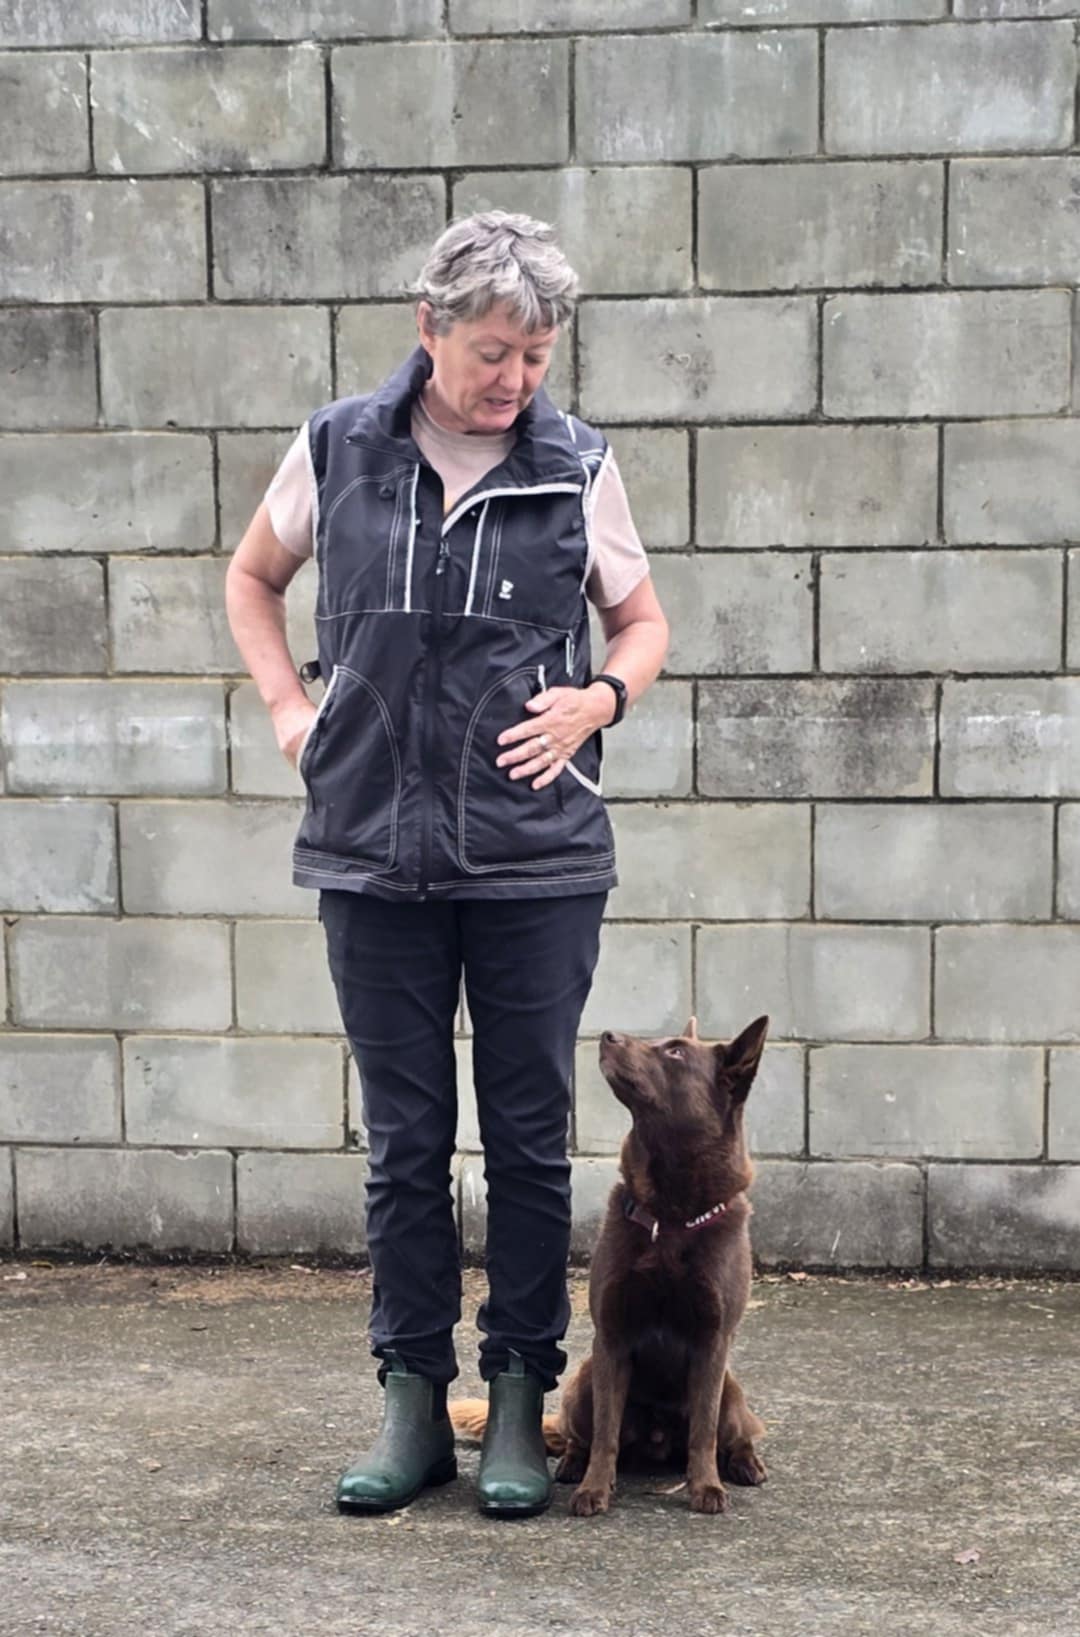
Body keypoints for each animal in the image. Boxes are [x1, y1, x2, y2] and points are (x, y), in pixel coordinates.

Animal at [451, 1014, 769, 1516]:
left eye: (675, 1052)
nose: (607, 1035)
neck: (670, 1218)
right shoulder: (612, 1337)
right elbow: (606, 1432)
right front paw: (594, 1489)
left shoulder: (713, 1341)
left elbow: (702, 1432)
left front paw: (705, 1487)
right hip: (583, 1381)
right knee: (581, 1435)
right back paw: (571, 1465)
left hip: (731, 1390)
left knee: (737, 1433)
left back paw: (745, 1464)